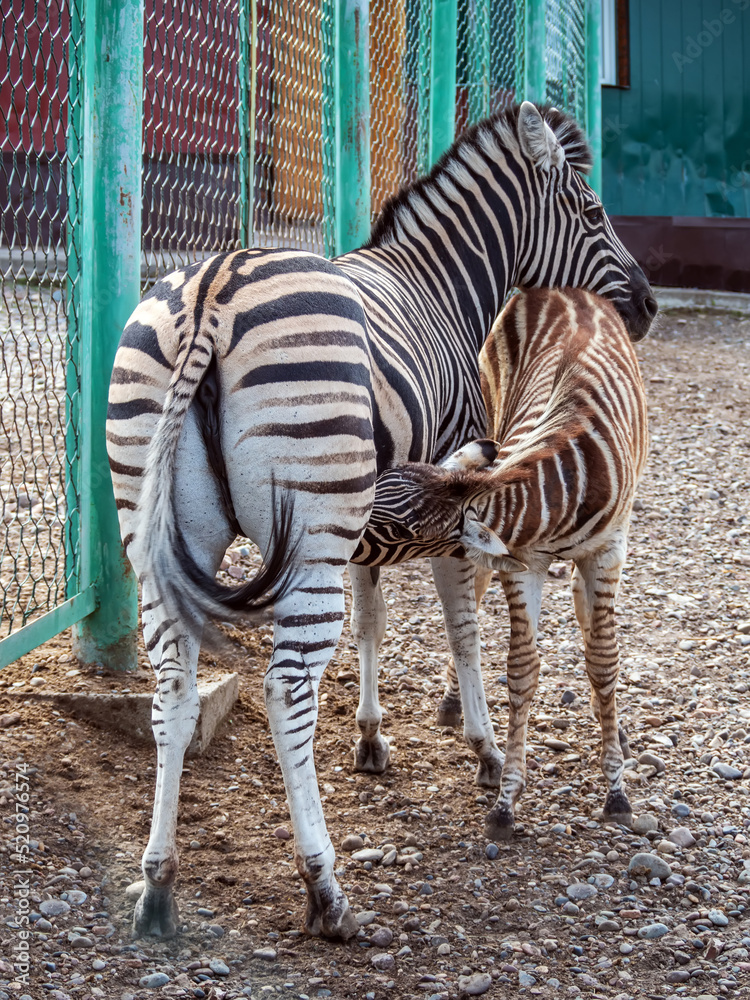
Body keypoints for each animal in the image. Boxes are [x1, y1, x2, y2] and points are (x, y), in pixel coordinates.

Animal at [356, 288, 648, 836]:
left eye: (403, 529)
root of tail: (566, 291)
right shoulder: (521, 563)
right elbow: (520, 669)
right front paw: (507, 799)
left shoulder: (607, 552)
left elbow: (603, 660)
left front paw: (616, 790)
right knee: (470, 604)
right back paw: (454, 703)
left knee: (586, 618)